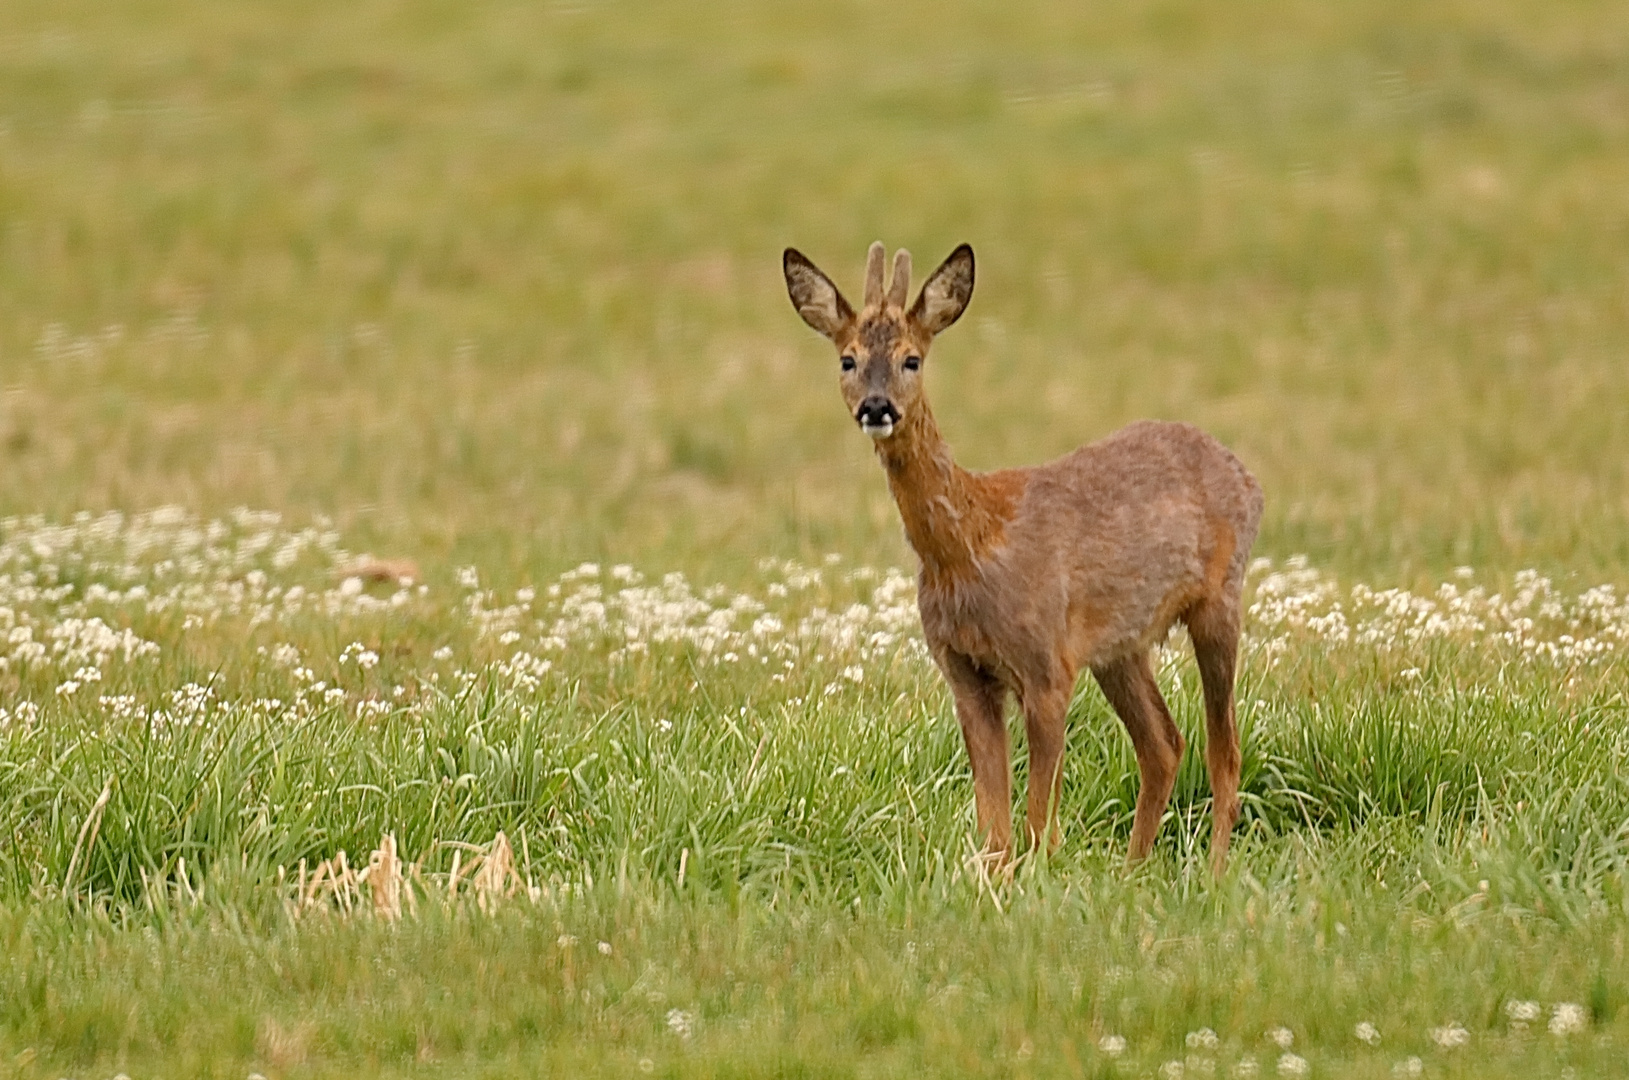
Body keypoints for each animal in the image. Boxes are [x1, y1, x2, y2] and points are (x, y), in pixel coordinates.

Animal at [781, 241, 1264, 873]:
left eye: (912, 359)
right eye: (848, 359)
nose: (876, 407)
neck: (970, 548)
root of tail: (1248, 478)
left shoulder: (1046, 665)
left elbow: (1037, 824)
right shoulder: (964, 672)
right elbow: (995, 830)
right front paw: (993, 882)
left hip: (1219, 601)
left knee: (1223, 749)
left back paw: (1213, 871)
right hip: (1119, 647)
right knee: (1163, 743)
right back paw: (1133, 870)